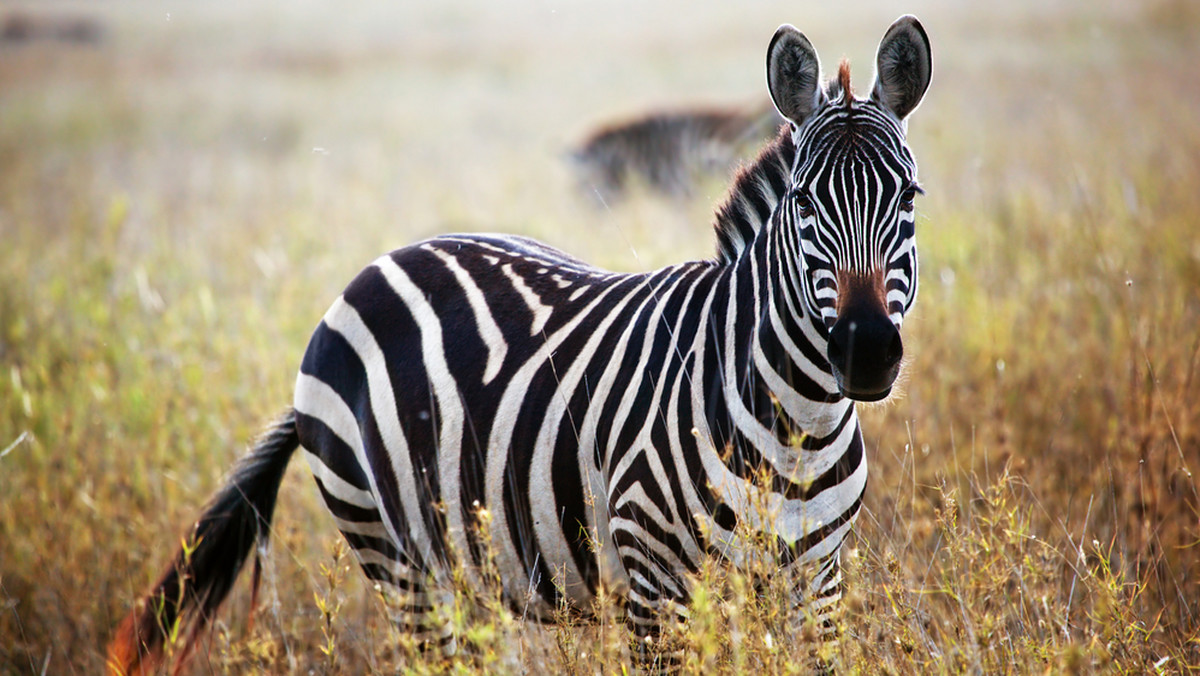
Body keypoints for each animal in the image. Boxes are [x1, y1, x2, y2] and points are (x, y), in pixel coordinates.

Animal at [112, 15, 931, 676]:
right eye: (804, 201)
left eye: (909, 198)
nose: (864, 353)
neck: (798, 426)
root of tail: (378, 265)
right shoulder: (655, 586)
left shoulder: (817, 586)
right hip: (397, 558)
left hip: (467, 565)